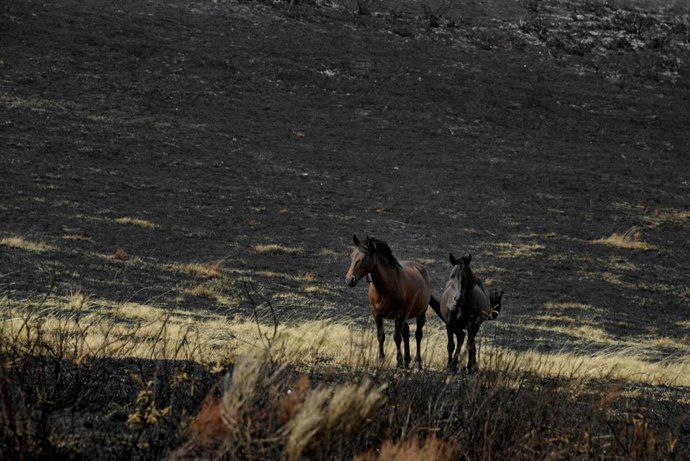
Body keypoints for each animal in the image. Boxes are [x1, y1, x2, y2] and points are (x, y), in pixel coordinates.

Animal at [345, 235, 434, 369]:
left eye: (364, 258)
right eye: (352, 256)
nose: (350, 279)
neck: (384, 288)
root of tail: (420, 268)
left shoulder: (399, 314)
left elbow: (397, 337)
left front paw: (399, 362)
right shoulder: (377, 314)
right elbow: (381, 336)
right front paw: (381, 360)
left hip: (420, 313)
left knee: (418, 335)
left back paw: (417, 363)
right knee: (406, 332)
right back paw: (407, 360)